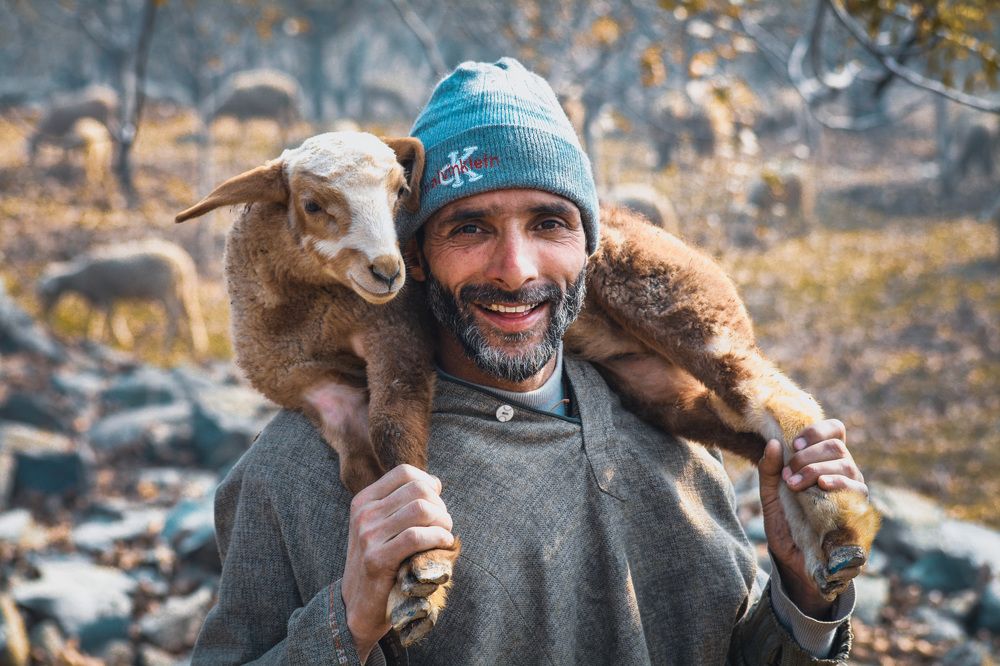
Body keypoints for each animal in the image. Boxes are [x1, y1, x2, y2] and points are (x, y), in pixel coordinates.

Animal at [37, 239, 208, 355]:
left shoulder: (105, 295)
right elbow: (103, 317)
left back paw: (166, 346)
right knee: (191, 315)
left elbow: (107, 318)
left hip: (165, 291)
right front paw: (99, 336)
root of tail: (182, 262)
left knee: (173, 316)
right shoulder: (103, 297)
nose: (43, 317)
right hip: (186, 290)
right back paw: (194, 345)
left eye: (45, 295)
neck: (78, 276)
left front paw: (113, 339)